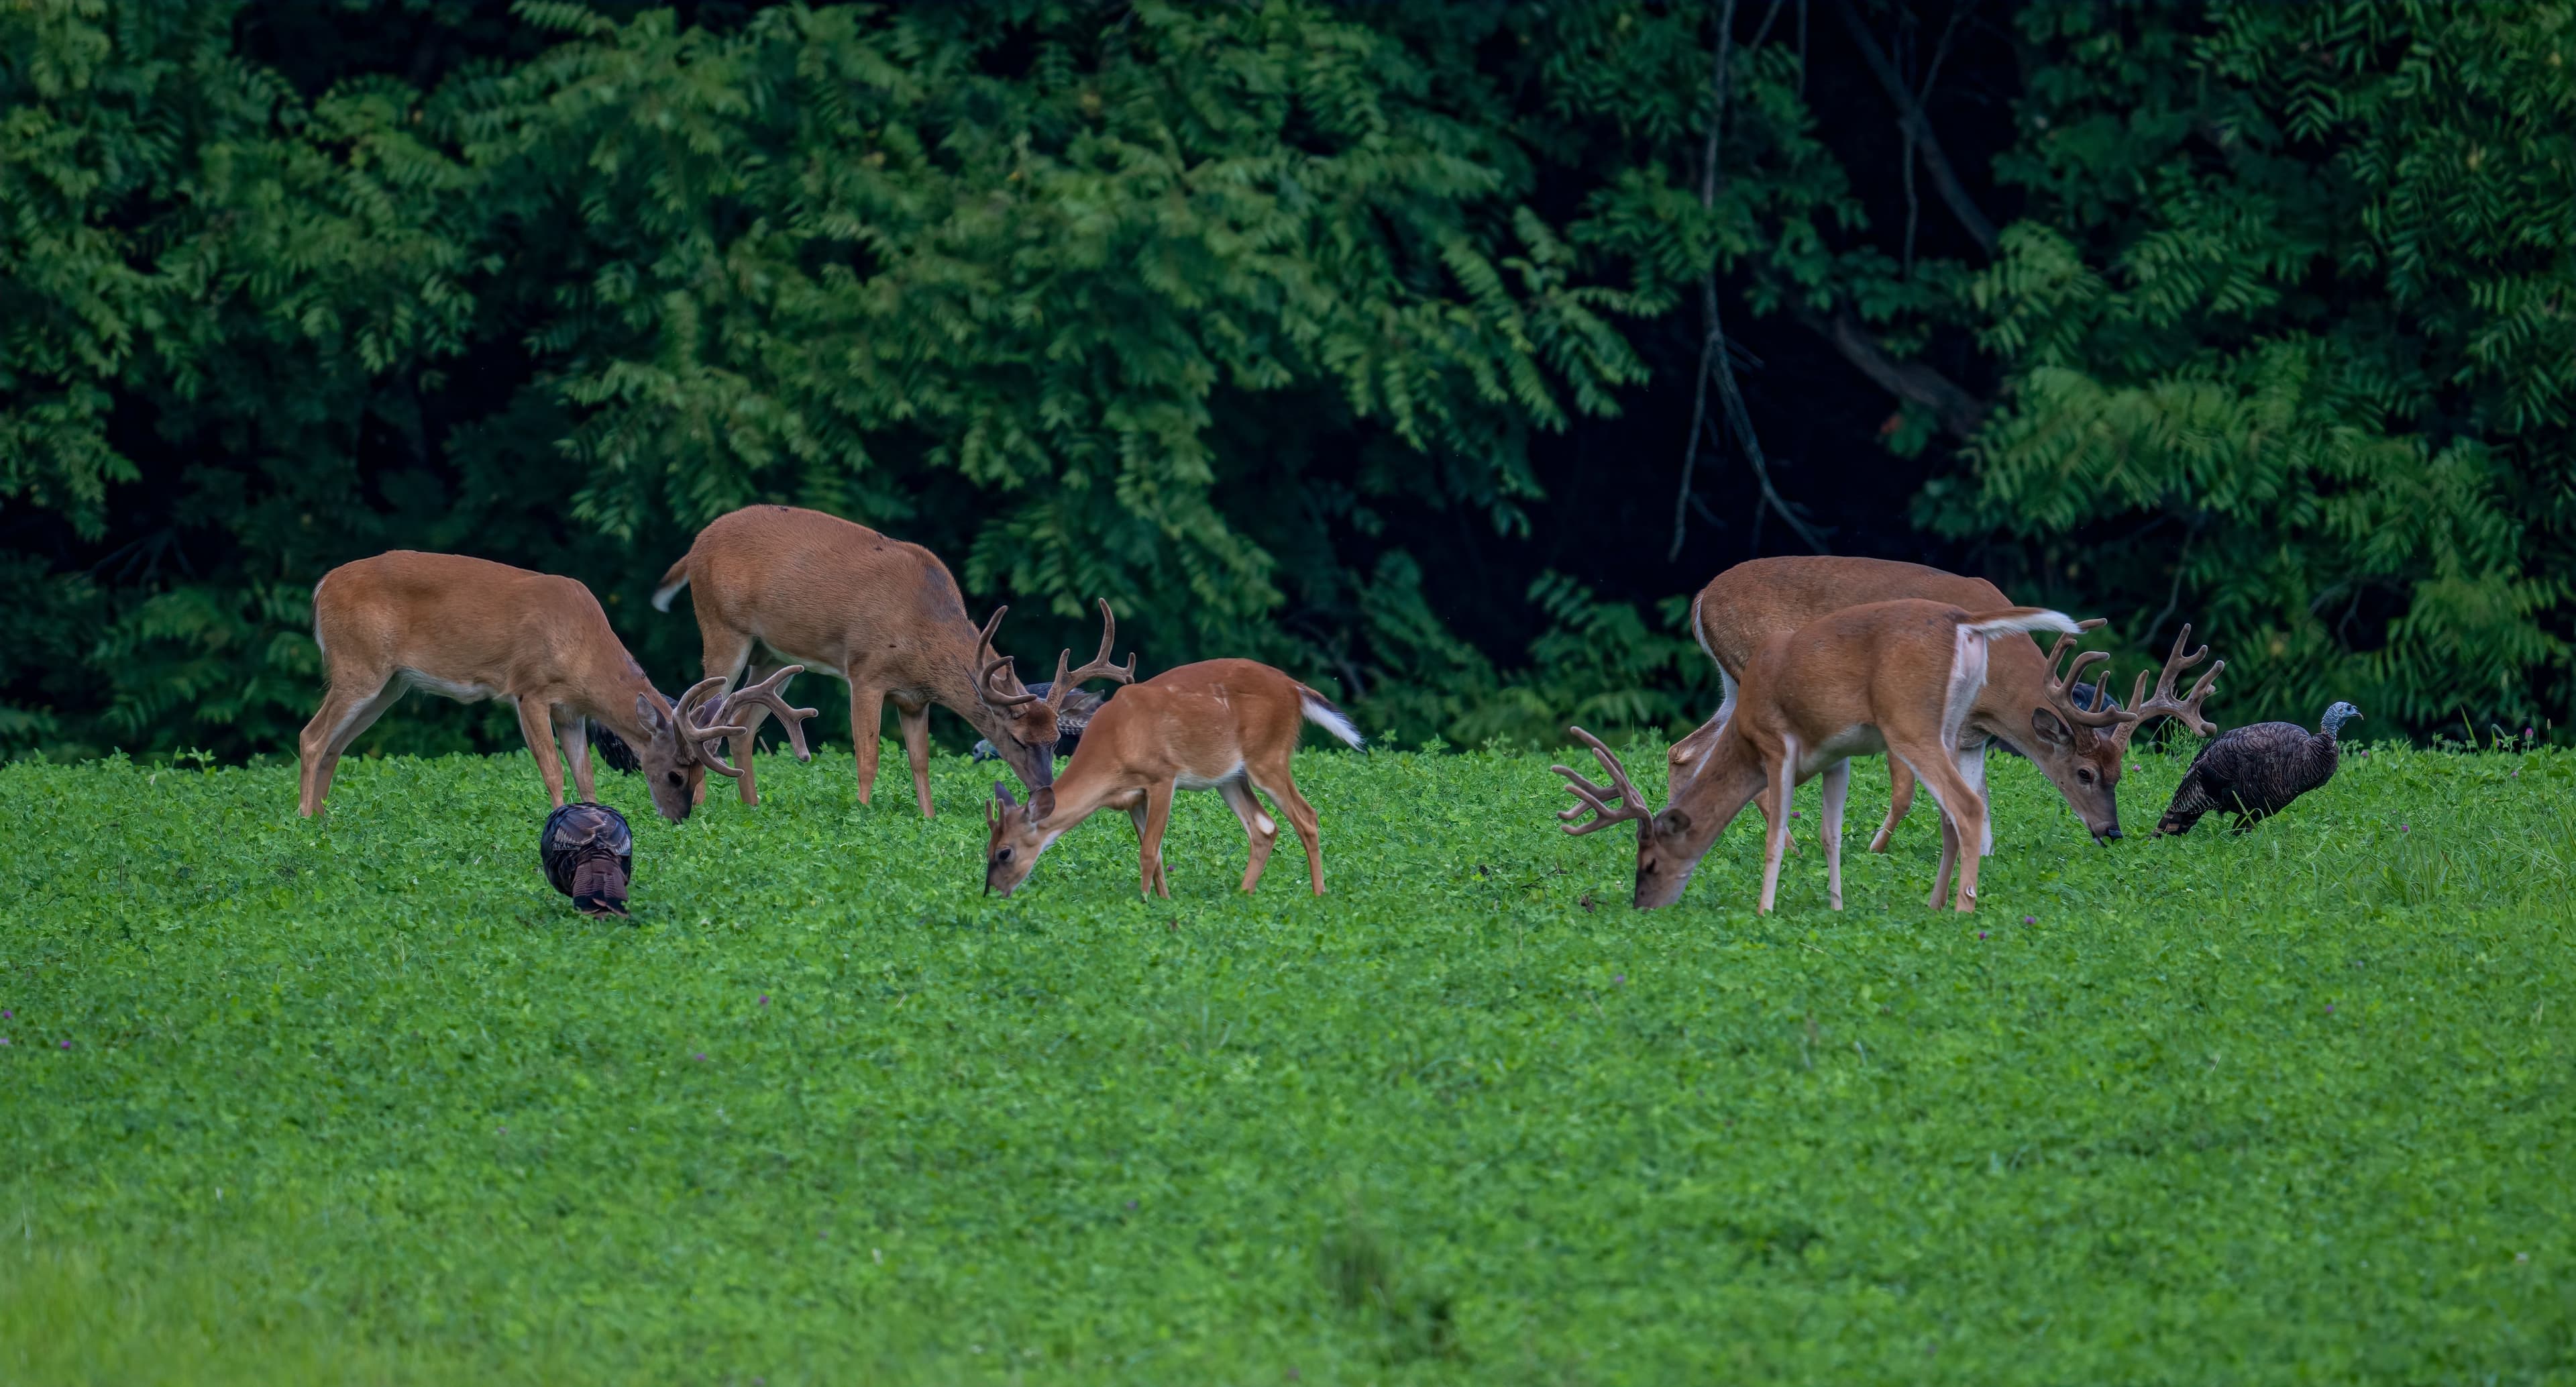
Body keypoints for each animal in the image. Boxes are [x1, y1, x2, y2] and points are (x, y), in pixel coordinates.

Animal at [299, 551, 816, 822]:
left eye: (696, 774)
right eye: (674, 774)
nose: (680, 817)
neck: (580, 648)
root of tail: (321, 588)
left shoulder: (572, 710)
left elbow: (585, 773)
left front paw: (597, 819)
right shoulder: (529, 690)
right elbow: (552, 770)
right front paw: (559, 818)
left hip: (389, 685)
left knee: (335, 744)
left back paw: (324, 819)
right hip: (357, 665)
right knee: (312, 736)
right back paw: (304, 818)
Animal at [652, 505, 1134, 815]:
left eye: (1055, 739)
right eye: (1015, 739)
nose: (1048, 792)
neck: (922, 628)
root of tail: (695, 546)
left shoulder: (915, 697)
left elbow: (919, 760)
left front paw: (928, 818)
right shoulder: (865, 671)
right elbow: (868, 755)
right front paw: (862, 813)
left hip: (771, 656)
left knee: (743, 723)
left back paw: (751, 807)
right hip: (721, 626)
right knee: (701, 711)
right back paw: (699, 807)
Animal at [981, 659, 1367, 900]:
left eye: (1004, 852)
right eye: (986, 849)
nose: (991, 893)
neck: (1114, 746)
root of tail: (1295, 687)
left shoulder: (1163, 777)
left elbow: (1149, 852)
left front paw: (1144, 902)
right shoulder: (1133, 798)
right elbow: (1154, 854)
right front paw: (1163, 901)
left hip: (1268, 756)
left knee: (1307, 816)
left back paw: (1318, 895)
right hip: (1231, 777)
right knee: (1264, 827)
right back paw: (1243, 894)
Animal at [1556, 600, 2097, 914]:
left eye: (1648, 863)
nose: (1641, 906)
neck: (1745, 737)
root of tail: (1964, 622)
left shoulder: (1777, 744)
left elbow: (1775, 832)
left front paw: (1764, 910)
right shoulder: (1839, 755)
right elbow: (1830, 834)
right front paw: (1836, 907)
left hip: (1910, 723)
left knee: (1967, 806)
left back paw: (1963, 909)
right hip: (1949, 727)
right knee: (1952, 811)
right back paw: (1934, 903)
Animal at [1682, 557, 2220, 853]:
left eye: (2119, 773)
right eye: (2084, 773)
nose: (2112, 831)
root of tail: (1701, 596)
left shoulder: (1972, 736)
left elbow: (1978, 798)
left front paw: (1980, 853)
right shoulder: (1910, 712)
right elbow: (1906, 794)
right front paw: (1876, 849)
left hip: (1733, 684)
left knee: (1686, 750)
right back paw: (1791, 846)